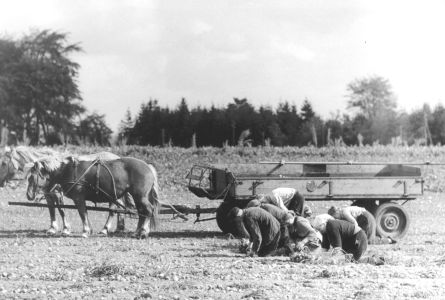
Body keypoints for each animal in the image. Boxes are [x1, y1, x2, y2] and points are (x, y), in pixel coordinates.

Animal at [26, 155, 160, 237]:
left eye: (32, 177)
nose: (29, 195)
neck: (67, 170)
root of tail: (148, 166)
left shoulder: (78, 198)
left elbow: (82, 213)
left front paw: (85, 231)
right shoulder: (79, 199)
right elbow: (84, 213)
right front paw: (88, 230)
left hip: (140, 196)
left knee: (148, 210)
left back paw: (143, 232)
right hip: (137, 197)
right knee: (142, 213)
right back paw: (137, 232)